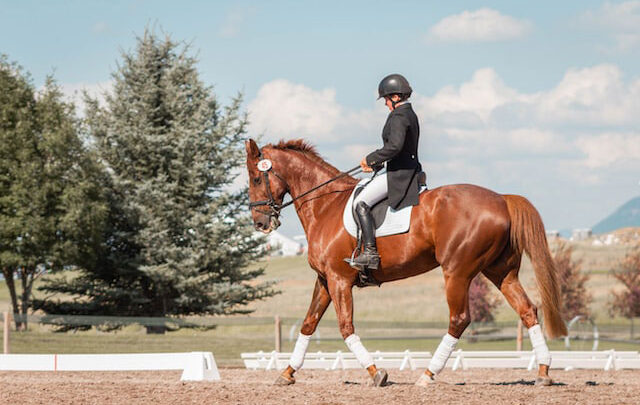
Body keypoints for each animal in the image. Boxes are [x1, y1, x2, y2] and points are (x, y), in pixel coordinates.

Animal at [245, 138, 564, 386]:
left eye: (256, 178)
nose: (260, 223)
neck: (325, 205)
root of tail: (501, 199)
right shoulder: (325, 279)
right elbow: (309, 323)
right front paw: (287, 373)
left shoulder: (339, 280)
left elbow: (346, 327)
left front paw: (377, 373)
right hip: (500, 271)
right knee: (527, 310)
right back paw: (543, 372)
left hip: (457, 272)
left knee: (459, 319)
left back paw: (428, 374)